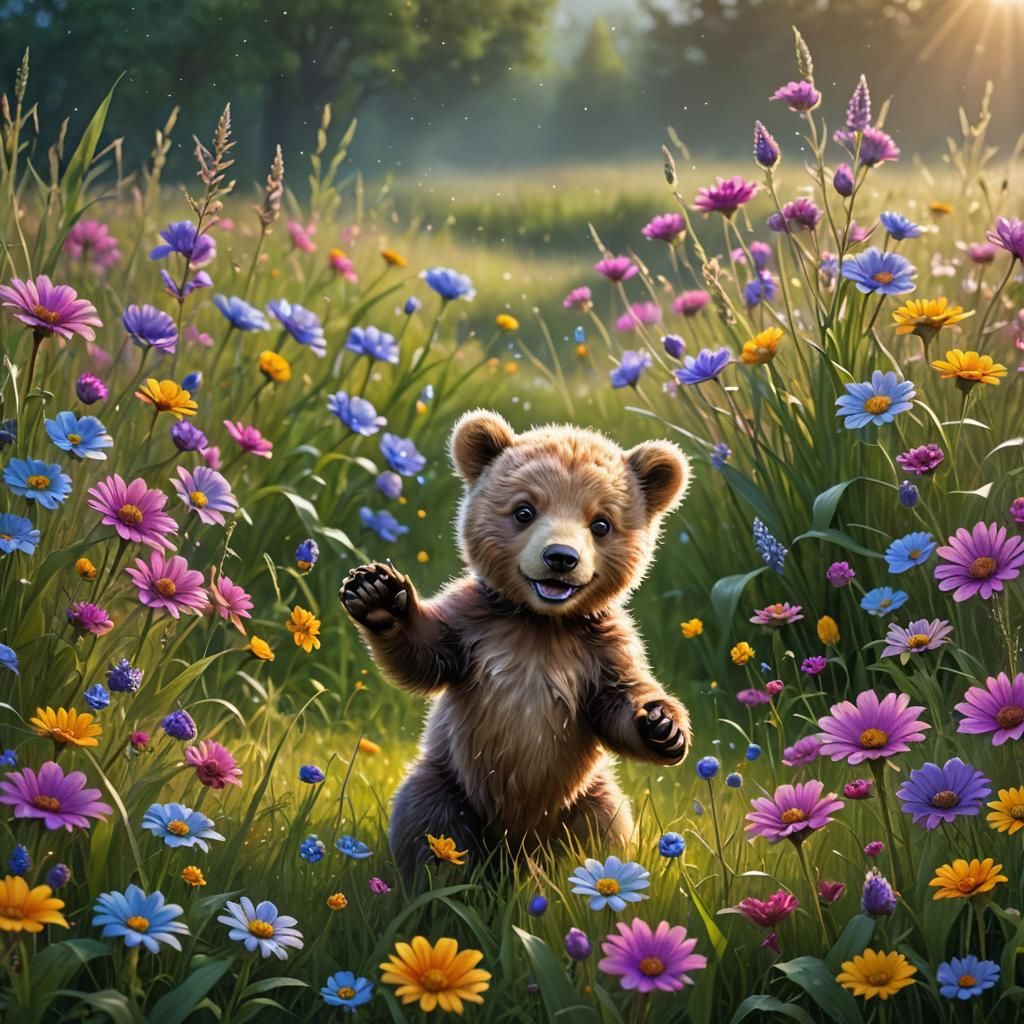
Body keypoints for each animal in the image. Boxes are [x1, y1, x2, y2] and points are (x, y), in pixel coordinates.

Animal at [339, 410, 692, 882]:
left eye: (601, 523)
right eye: (524, 510)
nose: (560, 557)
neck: (541, 624)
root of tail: (515, 850)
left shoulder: (603, 647)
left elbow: (619, 699)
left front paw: (663, 727)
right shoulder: (475, 628)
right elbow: (427, 657)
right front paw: (377, 593)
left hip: (584, 797)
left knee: (602, 831)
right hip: (450, 783)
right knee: (429, 824)